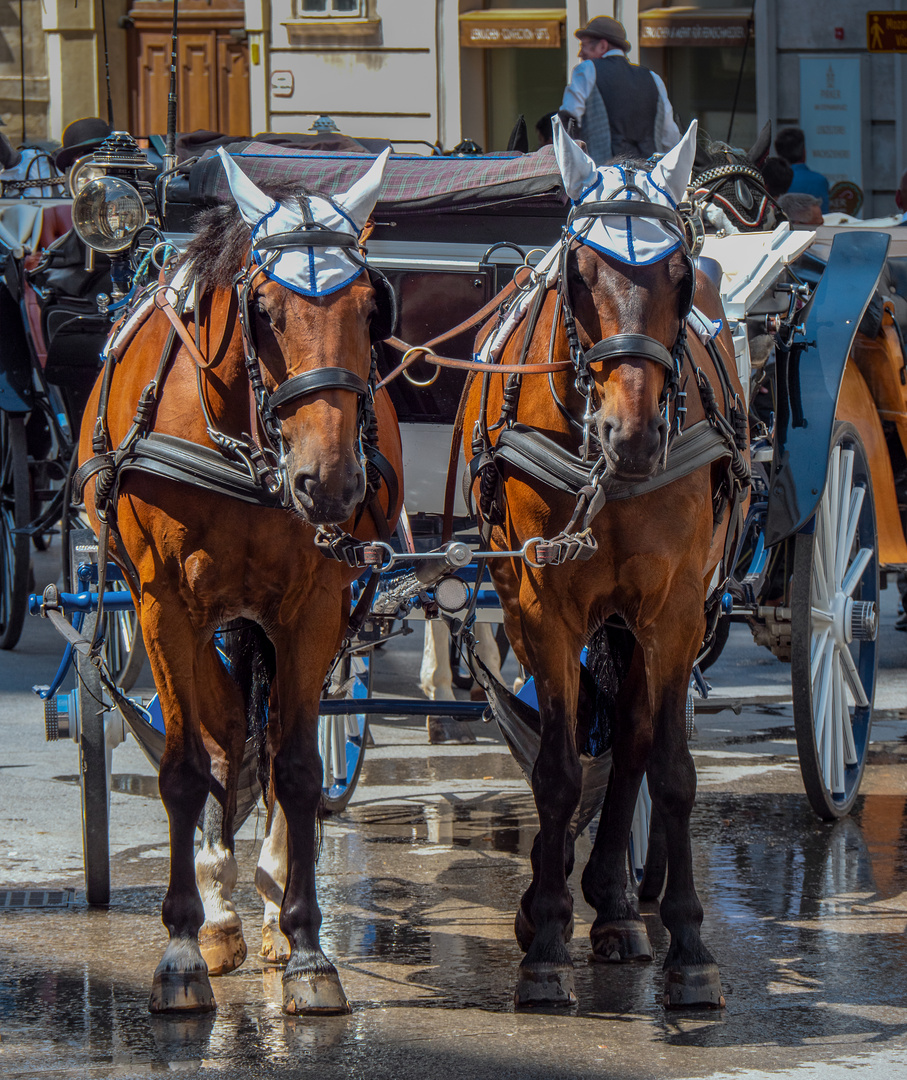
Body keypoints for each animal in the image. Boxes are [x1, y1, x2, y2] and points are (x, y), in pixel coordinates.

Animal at [76, 150, 401, 1010]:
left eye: (370, 308)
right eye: (264, 309)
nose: (330, 482)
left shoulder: (313, 605)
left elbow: (297, 768)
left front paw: (308, 945)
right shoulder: (165, 605)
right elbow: (188, 767)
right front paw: (184, 946)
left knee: (272, 737)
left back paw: (269, 902)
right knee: (223, 734)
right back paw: (221, 911)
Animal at [464, 118, 747, 1010]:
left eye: (680, 274)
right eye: (578, 276)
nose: (632, 434)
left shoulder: (675, 609)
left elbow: (668, 767)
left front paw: (689, 946)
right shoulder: (540, 605)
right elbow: (555, 769)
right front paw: (547, 936)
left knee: (629, 738)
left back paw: (621, 905)